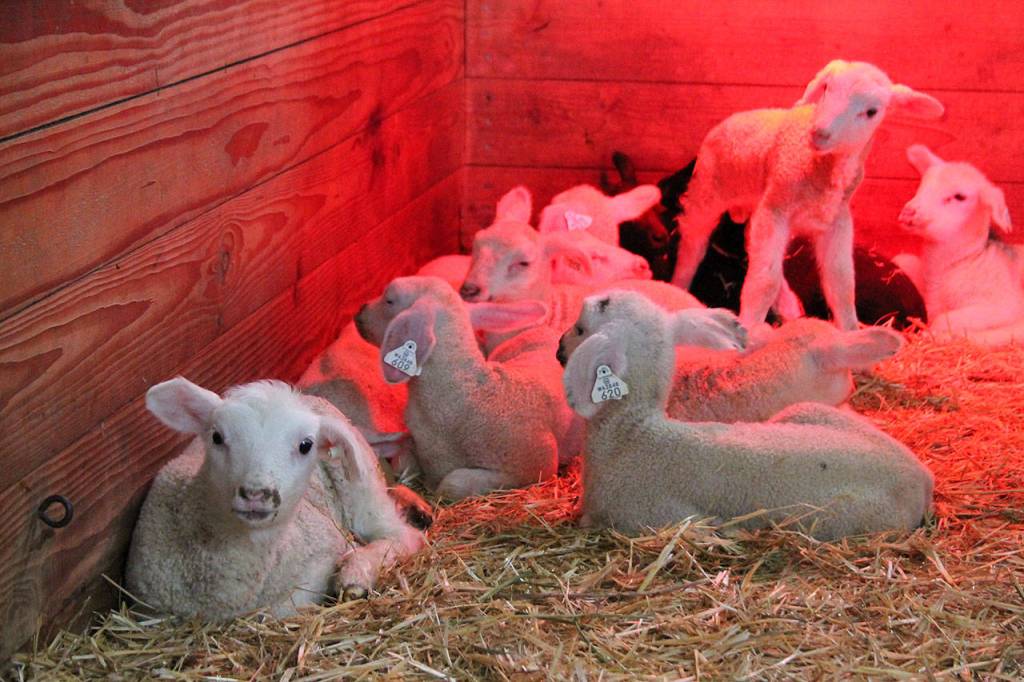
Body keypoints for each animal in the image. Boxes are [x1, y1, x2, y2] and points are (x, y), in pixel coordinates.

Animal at [126, 378, 427, 620]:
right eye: (217, 437)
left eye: (306, 445)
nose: (256, 494)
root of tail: (306, 396)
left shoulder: (319, 562)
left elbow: (281, 608)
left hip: (363, 492)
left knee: (402, 536)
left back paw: (356, 573)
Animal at [558, 290, 933, 540]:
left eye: (580, 328)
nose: (559, 349)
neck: (631, 432)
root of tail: (922, 478)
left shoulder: (652, 515)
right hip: (805, 411)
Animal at [670, 60, 944, 331]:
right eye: (826, 89)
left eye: (871, 112)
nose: (819, 133)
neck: (819, 166)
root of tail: (733, 118)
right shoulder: (776, 208)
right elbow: (764, 281)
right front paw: (748, 326)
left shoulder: (836, 220)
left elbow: (842, 284)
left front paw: (851, 331)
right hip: (708, 189)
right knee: (693, 242)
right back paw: (677, 288)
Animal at [895, 144, 1023, 345]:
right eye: (923, 184)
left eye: (960, 197)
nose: (909, 212)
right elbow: (901, 260)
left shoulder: (1002, 306)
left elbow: (941, 320)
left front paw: (932, 334)